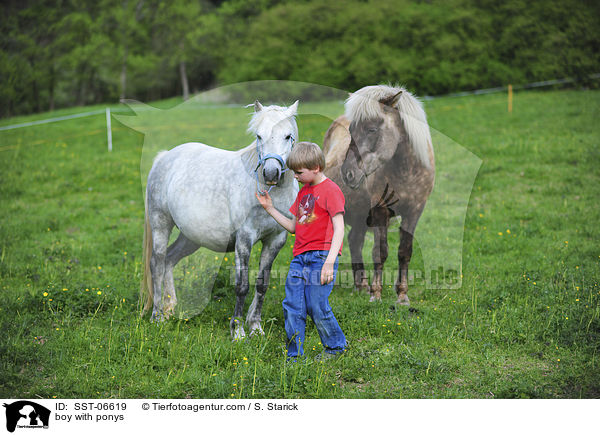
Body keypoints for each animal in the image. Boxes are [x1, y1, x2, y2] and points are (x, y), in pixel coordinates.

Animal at [141, 100, 300, 338]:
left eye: (288, 136)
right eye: (259, 136)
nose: (271, 173)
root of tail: (165, 157)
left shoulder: (275, 240)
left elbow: (262, 284)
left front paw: (255, 328)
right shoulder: (244, 239)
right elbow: (242, 286)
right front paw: (238, 331)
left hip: (191, 237)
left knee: (169, 259)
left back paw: (171, 309)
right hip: (161, 224)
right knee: (157, 263)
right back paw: (158, 316)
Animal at [324, 84, 436, 304]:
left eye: (372, 129)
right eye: (351, 130)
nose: (348, 173)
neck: (406, 171)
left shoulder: (414, 211)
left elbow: (404, 251)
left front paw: (402, 295)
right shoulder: (379, 210)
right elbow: (379, 252)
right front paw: (376, 294)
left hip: (360, 215)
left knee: (354, 240)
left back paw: (361, 285)